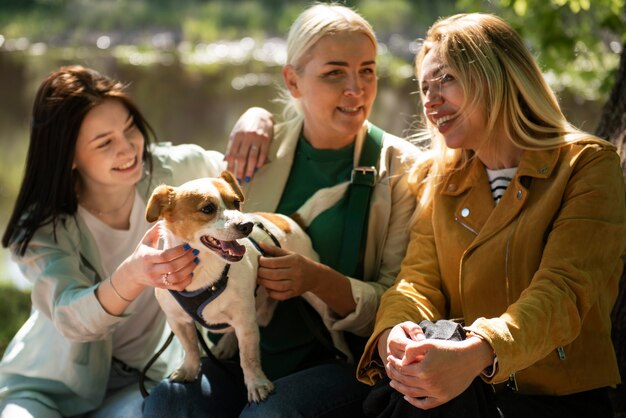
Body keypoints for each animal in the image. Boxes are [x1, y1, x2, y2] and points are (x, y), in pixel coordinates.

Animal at [146, 170, 348, 402]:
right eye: (207, 209)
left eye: (236, 202)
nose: (247, 225)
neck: (205, 270)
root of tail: (288, 219)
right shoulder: (178, 321)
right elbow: (191, 348)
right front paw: (189, 369)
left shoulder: (245, 323)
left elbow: (248, 358)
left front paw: (256, 384)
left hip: (313, 291)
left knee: (332, 325)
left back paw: (345, 353)